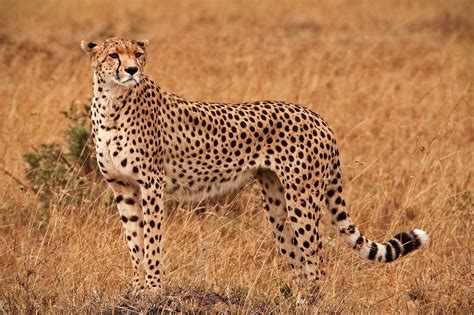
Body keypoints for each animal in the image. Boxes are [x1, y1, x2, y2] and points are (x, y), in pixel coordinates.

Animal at [80, 37, 430, 302]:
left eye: (137, 54)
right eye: (113, 55)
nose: (131, 70)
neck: (112, 101)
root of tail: (317, 116)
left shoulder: (152, 185)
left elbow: (151, 241)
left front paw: (153, 291)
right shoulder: (123, 188)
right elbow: (134, 241)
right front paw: (137, 289)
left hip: (302, 197)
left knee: (316, 260)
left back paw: (309, 304)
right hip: (275, 200)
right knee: (298, 259)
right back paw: (295, 302)